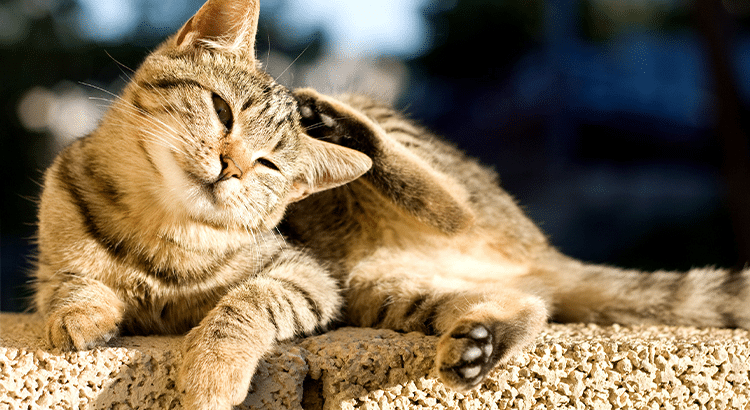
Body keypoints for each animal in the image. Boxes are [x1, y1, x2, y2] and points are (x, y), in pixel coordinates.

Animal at [30, 0, 750, 408]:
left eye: (268, 165)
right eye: (221, 111)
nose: (233, 166)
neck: (157, 228)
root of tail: (540, 251)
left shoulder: (303, 278)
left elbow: (240, 308)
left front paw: (212, 375)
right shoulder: (58, 232)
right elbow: (70, 278)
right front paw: (82, 314)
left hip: (414, 207)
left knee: (451, 204)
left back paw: (342, 127)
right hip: (381, 289)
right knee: (527, 303)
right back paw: (480, 343)